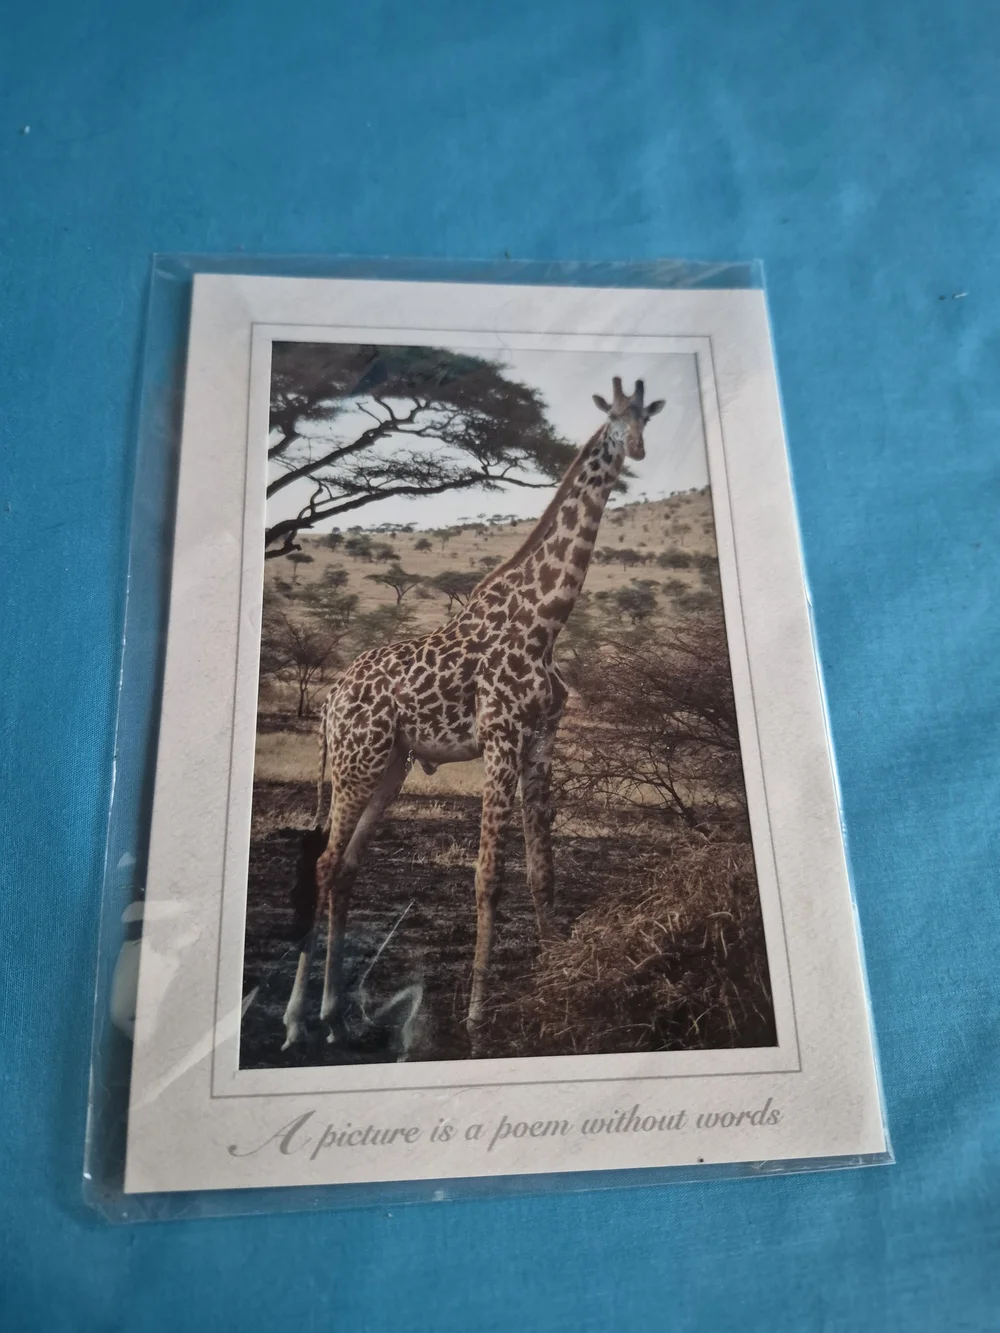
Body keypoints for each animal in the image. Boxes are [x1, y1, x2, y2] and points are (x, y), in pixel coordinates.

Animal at [282, 378, 665, 1052]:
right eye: (614, 420)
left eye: (646, 417)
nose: (637, 450)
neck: (544, 623)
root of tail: (329, 698)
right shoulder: (500, 739)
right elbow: (489, 877)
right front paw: (478, 1020)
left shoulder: (540, 743)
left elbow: (543, 873)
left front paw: (555, 981)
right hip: (357, 761)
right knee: (326, 863)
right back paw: (298, 1018)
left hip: (391, 764)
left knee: (347, 867)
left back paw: (336, 1014)